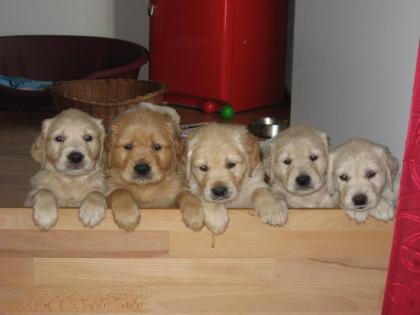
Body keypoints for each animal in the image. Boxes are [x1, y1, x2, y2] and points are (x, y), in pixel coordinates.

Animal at [106, 103, 199, 232]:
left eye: (157, 146)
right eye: (128, 146)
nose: (142, 169)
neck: (146, 188)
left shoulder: (170, 203)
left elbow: (184, 193)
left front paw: (194, 213)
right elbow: (119, 191)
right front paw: (127, 215)